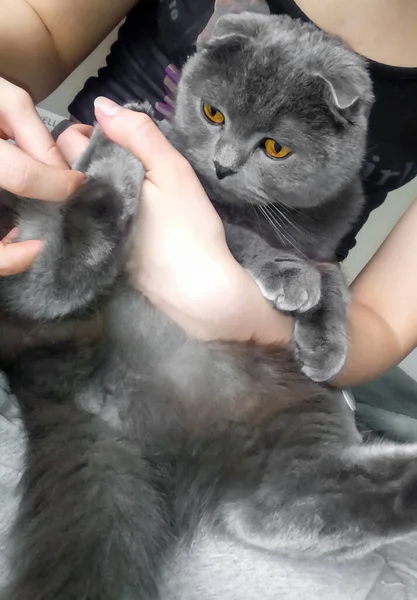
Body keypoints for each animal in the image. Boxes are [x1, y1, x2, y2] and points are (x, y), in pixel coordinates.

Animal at [0, 11, 416, 600]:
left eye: (275, 148)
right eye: (213, 114)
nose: (221, 167)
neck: (284, 218)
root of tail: (107, 407)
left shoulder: (324, 244)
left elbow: (334, 277)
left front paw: (325, 340)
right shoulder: (214, 213)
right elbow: (242, 241)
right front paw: (290, 277)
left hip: (290, 426)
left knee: (285, 507)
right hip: (41, 258)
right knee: (52, 280)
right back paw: (119, 143)